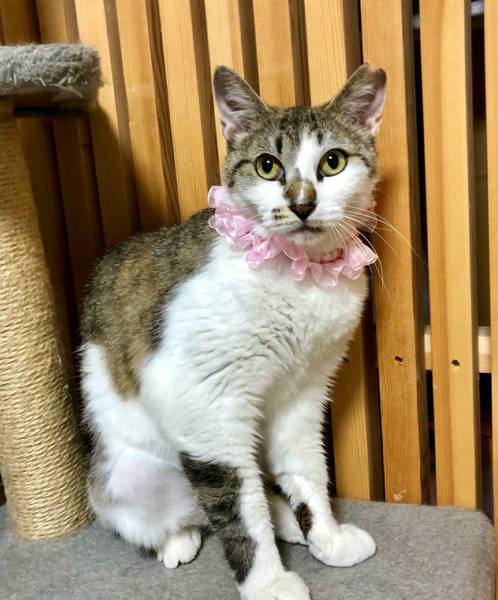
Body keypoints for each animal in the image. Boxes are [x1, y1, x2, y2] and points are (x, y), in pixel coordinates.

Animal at [80, 63, 386, 600]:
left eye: (332, 162)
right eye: (267, 166)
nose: (302, 204)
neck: (300, 278)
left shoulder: (305, 390)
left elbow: (307, 468)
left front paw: (326, 537)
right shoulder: (203, 400)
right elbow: (238, 505)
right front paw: (268, 581)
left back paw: (288, 522)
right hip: (128, 478)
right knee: (193, 511)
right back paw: (180, 539)